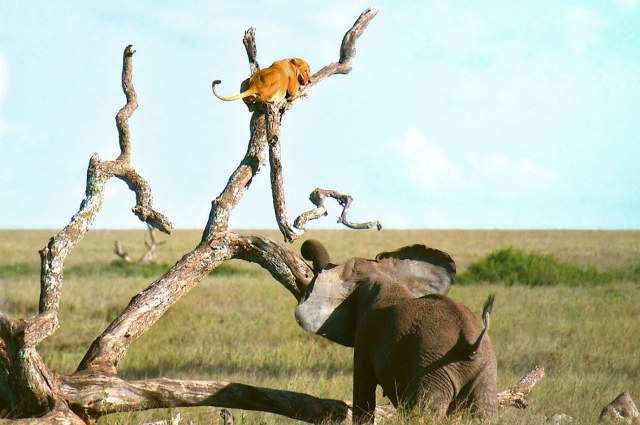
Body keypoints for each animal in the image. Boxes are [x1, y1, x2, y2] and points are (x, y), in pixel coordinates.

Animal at [292, 238, 498, 420]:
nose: (304, 251)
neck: (379, 275)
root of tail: (469, 341)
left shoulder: (365, 334)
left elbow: (363, 390)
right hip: (484, 371)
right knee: (483, 413)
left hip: (434, 370)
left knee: (424, 413)